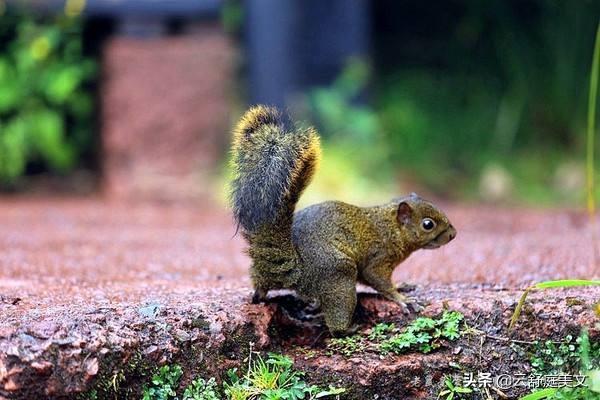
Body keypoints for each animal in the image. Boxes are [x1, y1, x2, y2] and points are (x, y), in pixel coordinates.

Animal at [230, 105, 454, 334]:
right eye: (428, 224)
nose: (453, 234)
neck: (391, 228)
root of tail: (295, 269)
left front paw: (401, 285)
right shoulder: (378, 258)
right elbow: (378, 280)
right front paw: (402, 299)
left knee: (262, 287)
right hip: (338, 275)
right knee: (336, 324)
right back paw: (351, 328)